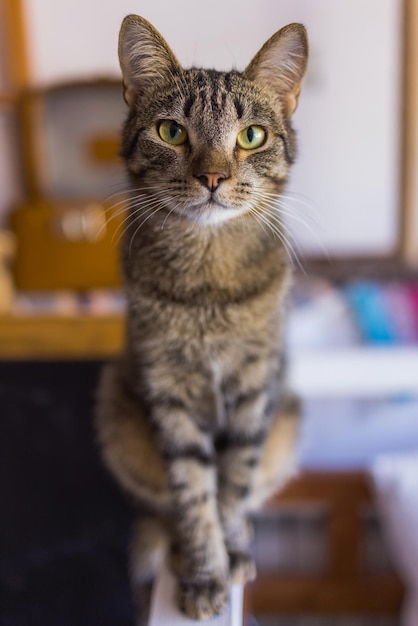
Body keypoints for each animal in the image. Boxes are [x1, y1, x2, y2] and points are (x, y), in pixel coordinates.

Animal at [97, 13, 306, 620]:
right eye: (171, 132)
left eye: (251, 136)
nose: (212, 177)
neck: (208, 279)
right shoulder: (169, 392)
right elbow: (193, 495)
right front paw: (205, 571)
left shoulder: (256, 387)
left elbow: (234, 484)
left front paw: (229, 555)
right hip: (118, 413)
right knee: (165, 510)